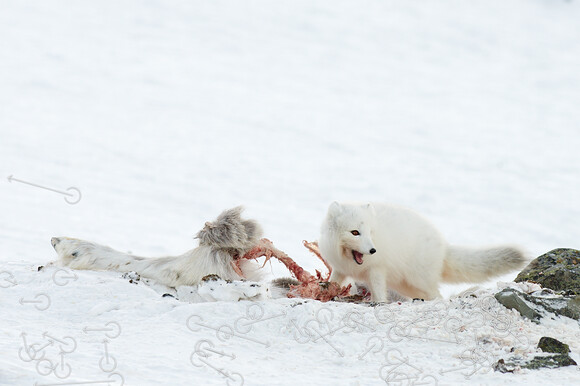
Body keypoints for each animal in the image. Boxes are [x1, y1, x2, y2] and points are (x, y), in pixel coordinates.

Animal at [318, 202, 524, 302]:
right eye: (355, 232)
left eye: (370, 232)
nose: (373, 250)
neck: (349, 260)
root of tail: (443, 246)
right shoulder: (340, 269)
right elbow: (334, 281)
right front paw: (326, 290)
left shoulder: (377, 270)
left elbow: (378, 290)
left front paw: (377, 302)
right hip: (407, 285)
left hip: (419, 280)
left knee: (438, 295)